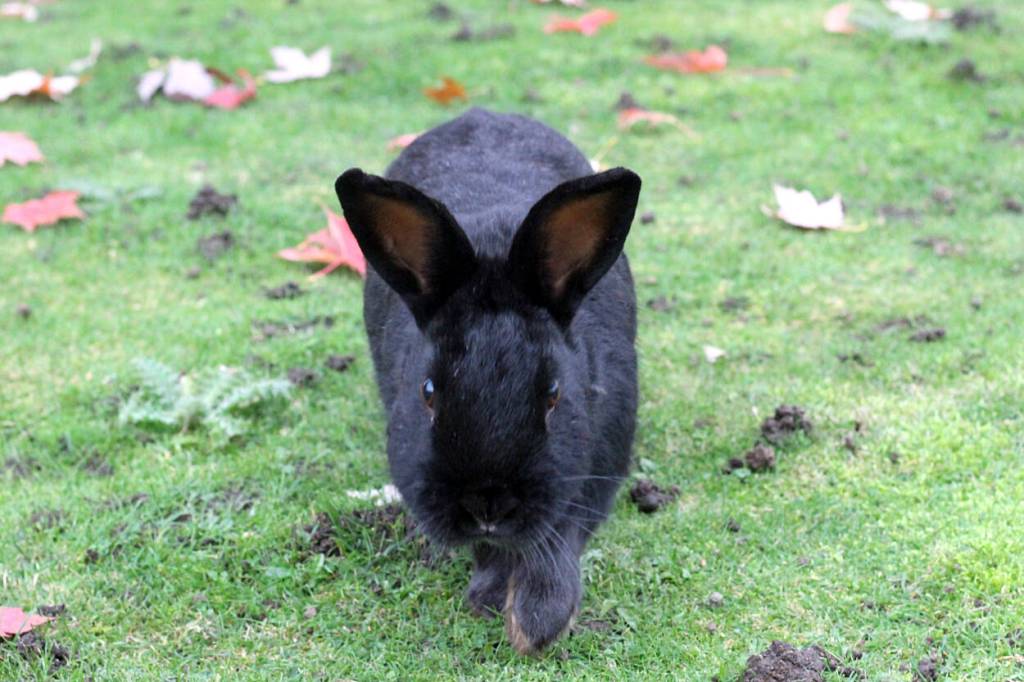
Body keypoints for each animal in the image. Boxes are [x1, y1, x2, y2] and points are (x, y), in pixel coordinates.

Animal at [334, 107, 640, 654]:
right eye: (428, 392)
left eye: (554, 395)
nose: (487, 504)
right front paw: (493, 596)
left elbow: (556, 534)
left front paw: (536, 621)